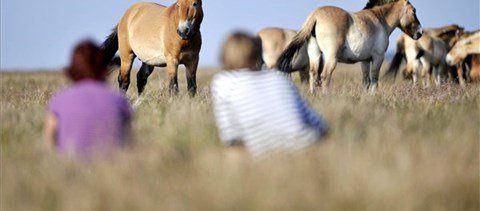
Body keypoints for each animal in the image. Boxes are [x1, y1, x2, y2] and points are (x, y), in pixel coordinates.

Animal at [276, 0, 422, 92]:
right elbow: (374, 80)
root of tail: (315, 16)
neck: (380, 20)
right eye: (414, 11)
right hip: (331, 58)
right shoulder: (378, 57)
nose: (420, 33)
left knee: (313, 75)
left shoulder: (365, 60)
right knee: (325, 77)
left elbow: (366, 81)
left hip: (315, 55)